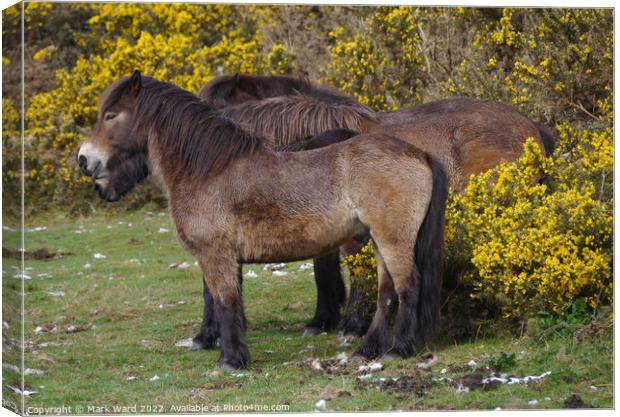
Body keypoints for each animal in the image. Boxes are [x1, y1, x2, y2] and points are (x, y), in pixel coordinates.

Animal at [77, 71, 448, 368]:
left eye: (111, 115)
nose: (84, 160)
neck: (209, 169)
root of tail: (418, 153)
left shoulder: (216, 255)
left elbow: (224, 301)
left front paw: (229, 360)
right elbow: (228, 301)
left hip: (391, 239)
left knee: (407, 285)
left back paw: (397, 349)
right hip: (379, 240)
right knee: (387, 291)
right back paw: (367, 349)